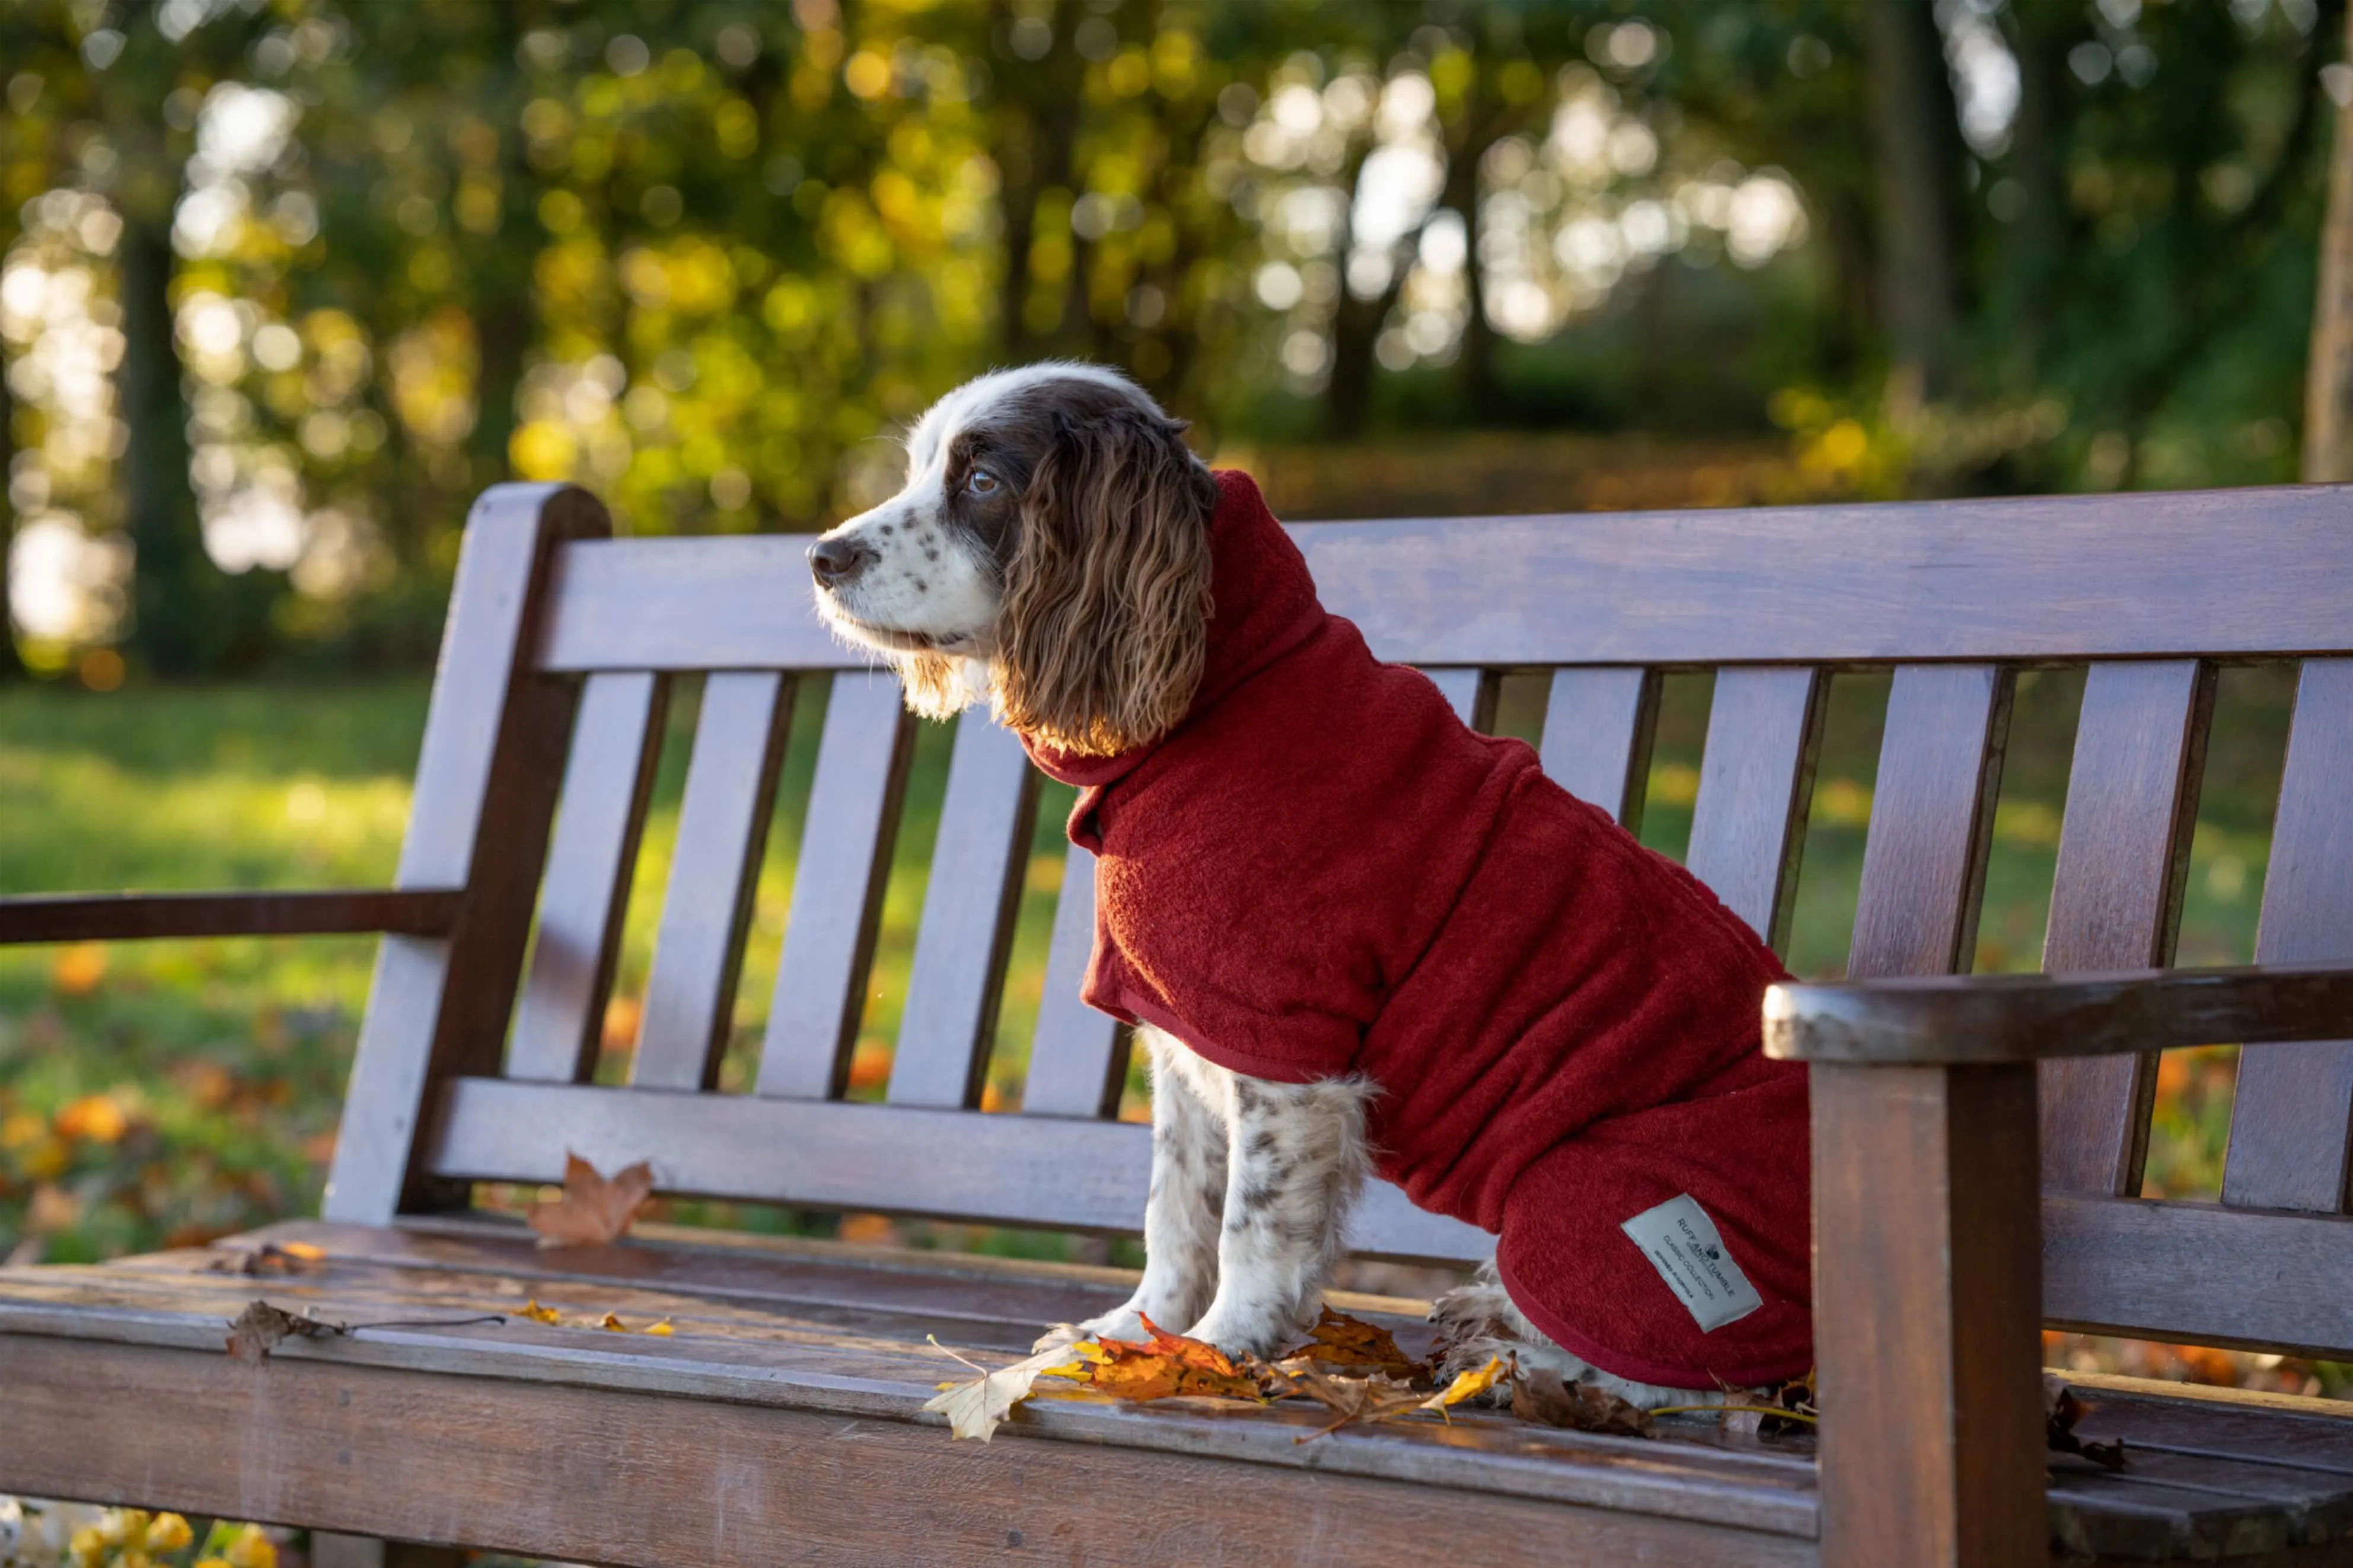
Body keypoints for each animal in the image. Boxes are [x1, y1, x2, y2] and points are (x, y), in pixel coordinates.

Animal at [800, 358, 1807, 1403]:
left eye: (984, 481)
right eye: (918, 469)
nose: (821, 557)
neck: (1214, 695)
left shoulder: (1283, 1051)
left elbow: (1254, 1224)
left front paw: (1221, 1347)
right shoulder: (1185, 1038)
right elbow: (1177, 1208)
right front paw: (1132, 1336)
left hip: (1588, 1199)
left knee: (1689, 1378)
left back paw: (1517, 1358)